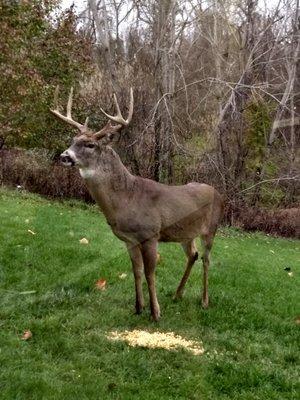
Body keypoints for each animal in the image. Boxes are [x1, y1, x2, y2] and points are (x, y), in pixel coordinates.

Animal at [50, 87, 224, 322]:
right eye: (73, 139)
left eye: (90, 144)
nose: (64, 156)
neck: (127, 199)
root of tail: (218, 192)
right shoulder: (129, 240)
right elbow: (137, 271)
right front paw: (138, 307)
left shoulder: (150, 234)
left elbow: (150, 273)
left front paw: (155, 312)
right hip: (186, 233)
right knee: (193, 255)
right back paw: (177, 294)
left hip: (211, 228)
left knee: (206, 259)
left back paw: (204, 301)